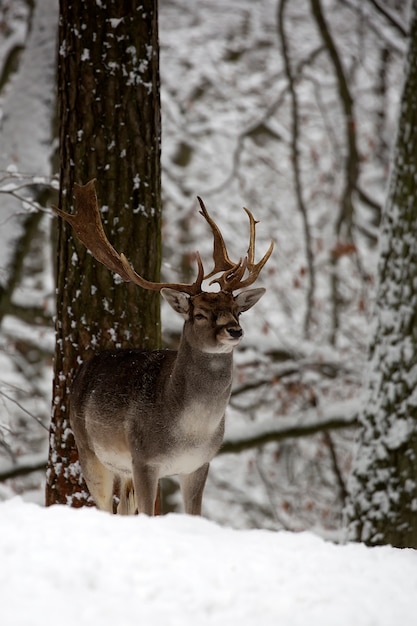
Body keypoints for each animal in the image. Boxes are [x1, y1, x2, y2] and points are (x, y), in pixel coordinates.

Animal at [55, 178, 274, 516]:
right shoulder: (145, 458)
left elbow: (194, 513)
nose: (234, 330)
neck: (191, 433)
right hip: (88, 449)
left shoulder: (199, 463)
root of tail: (84, 366)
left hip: (122, 468)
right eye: (199, 314)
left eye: (237, 311)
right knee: (104, 505)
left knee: (123, 509)